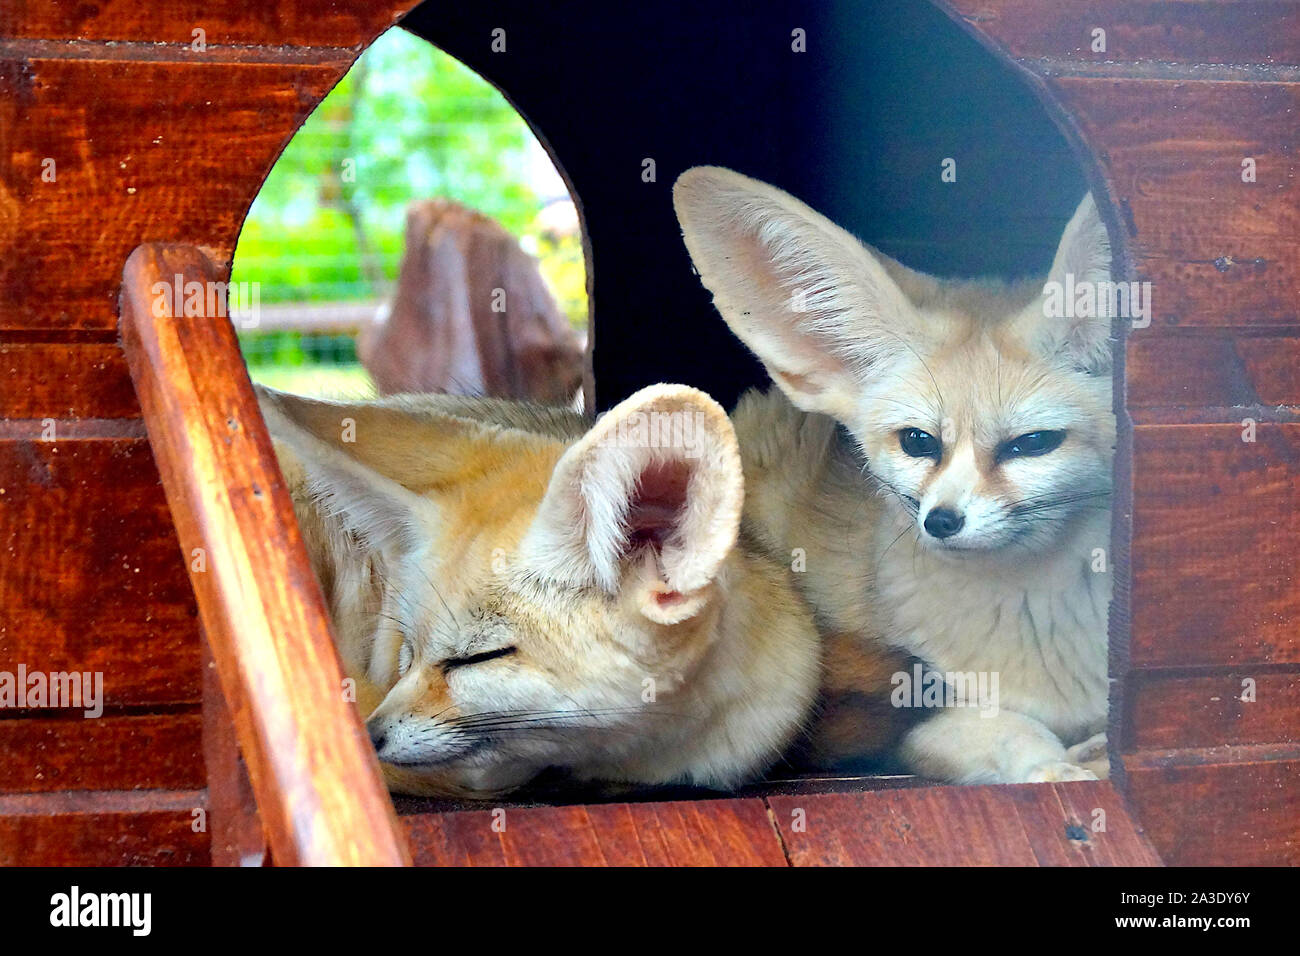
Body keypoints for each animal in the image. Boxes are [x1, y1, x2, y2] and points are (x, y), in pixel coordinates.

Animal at [676, 167, 1112, 790]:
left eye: (1031, 444)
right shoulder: (919, 722)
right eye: (918, 442)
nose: (943, 521)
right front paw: (1050, 766)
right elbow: (1011, 731)